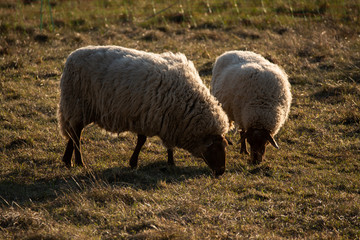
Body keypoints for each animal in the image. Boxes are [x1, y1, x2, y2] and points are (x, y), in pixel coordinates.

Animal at [57, 45, 229, 176]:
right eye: (215, 149)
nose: (221, 172)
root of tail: (71, 56)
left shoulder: (167, 122)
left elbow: (167, 145)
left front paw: (171, 162)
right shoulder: (148, 118)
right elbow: (142, 141)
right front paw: (133, 162)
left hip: (78, 109)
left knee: (72, 132)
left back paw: (67, 160)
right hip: (78, 104)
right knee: (76, 134)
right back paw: (79, 162)